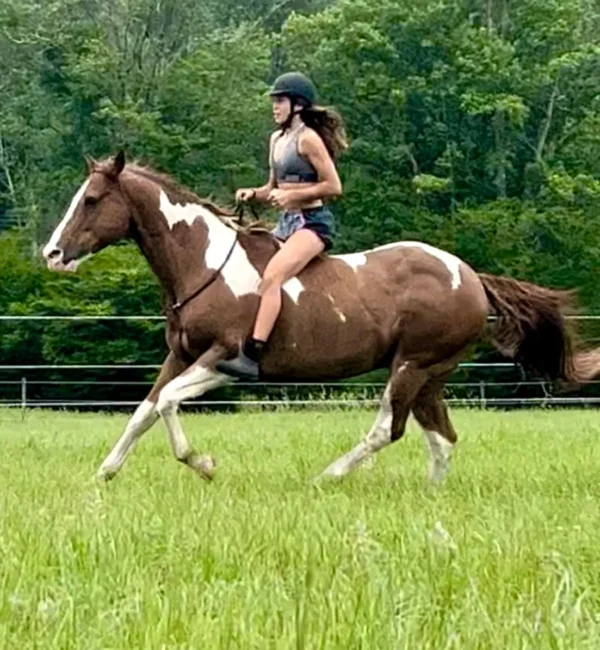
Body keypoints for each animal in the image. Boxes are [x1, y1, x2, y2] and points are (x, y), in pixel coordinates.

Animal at [43, 152, 600, 480]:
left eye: (92, 200)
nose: (52, 254)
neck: (202, 261)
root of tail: (470, 277)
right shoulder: (180, 356)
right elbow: (144, 410)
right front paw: (105, 472)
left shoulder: (222, 360)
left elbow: (167, 404)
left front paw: (203, 464)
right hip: (430, 373)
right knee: (440, 437)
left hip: (412, 366)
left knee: (388, 429)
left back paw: (328, 476)